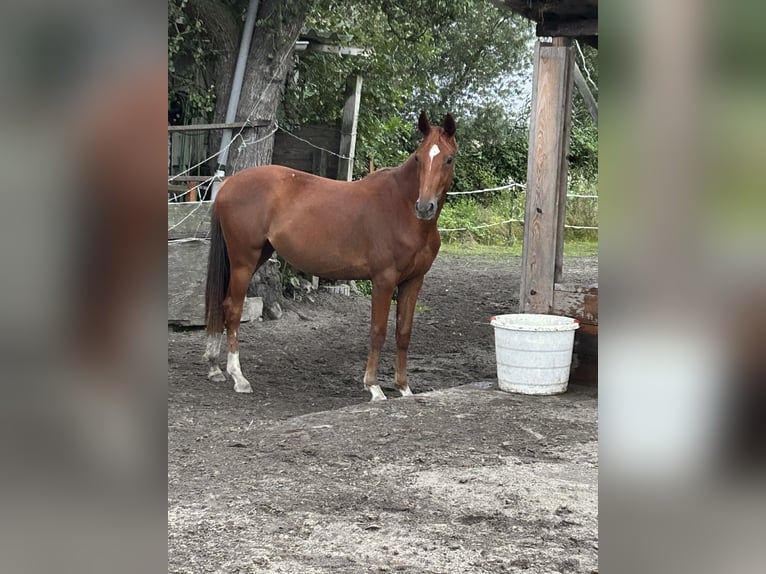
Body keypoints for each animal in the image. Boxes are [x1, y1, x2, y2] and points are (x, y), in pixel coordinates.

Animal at [204, 111, 456, 400]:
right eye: (418, 158)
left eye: (448, 159)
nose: (424, 207)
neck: (403, 209)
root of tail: (228, 185)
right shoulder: (383, 280)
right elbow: (378, 330)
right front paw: (374, 387)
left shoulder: (413, 281)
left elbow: (403, 332)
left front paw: (404, 388)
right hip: (243, 262)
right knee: (233, 310)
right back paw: (238, 377)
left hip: (254, 258)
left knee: (222, 305)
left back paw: (214, 367)